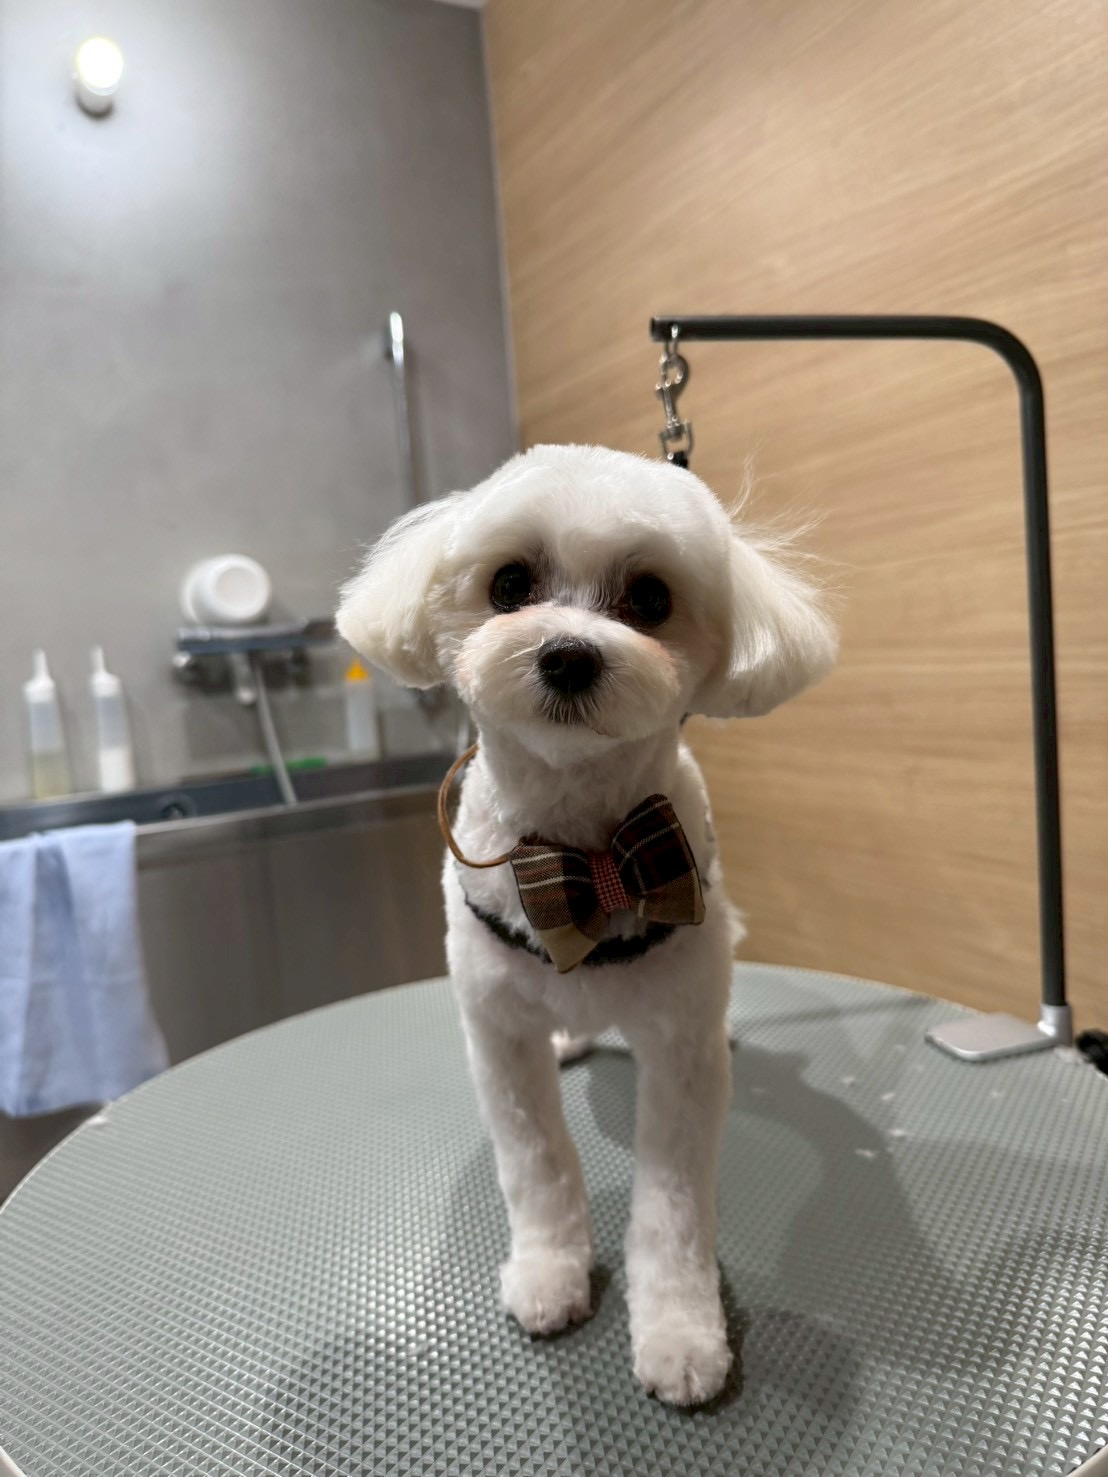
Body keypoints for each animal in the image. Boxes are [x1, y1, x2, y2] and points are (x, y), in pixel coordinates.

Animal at [336, 444, 836, 1405]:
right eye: (509, 583)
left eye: (649, 597)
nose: (568, 655)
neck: (584, 857)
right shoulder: (499, 1038)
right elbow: (537, 1168)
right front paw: (549, 1273)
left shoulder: (680, 1053)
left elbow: (673, 1208)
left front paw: (681, 1332)